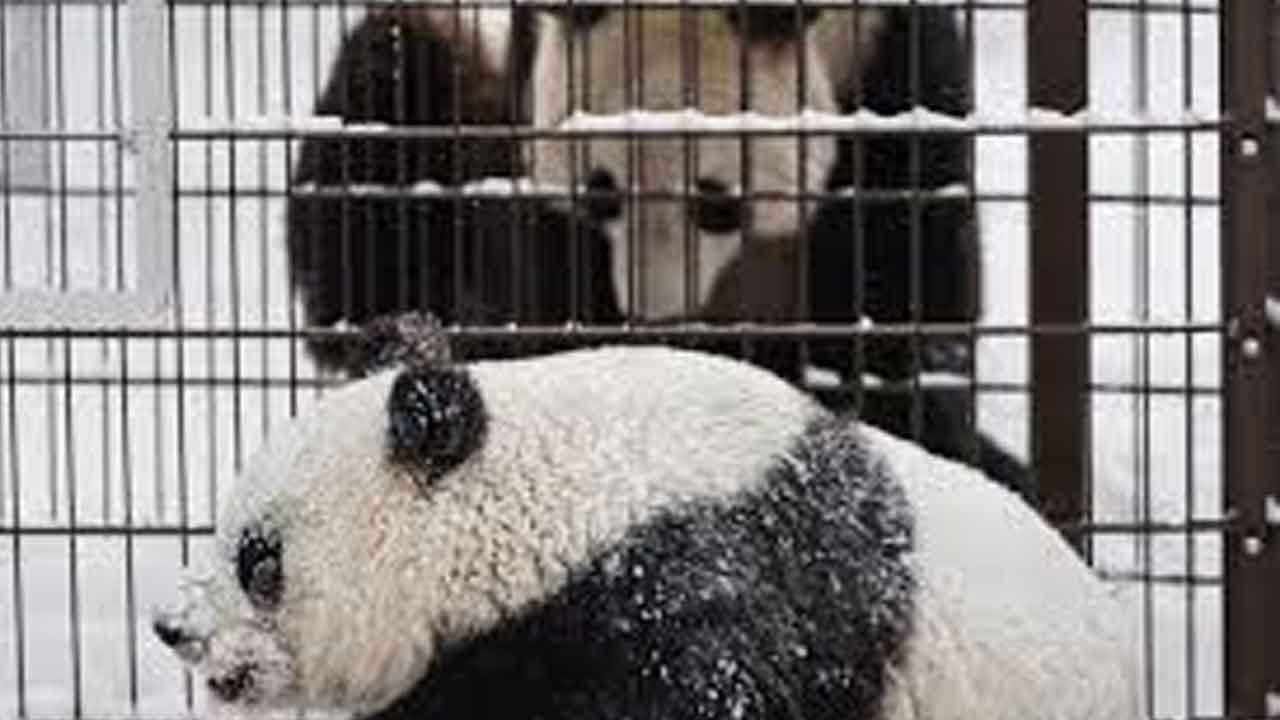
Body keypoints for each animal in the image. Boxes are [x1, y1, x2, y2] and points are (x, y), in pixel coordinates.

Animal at [285, 3, 1029, 496]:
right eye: (602, 196)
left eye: (718, 203)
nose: (658, 318)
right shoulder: (525, 97)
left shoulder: (890, 71)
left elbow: (906, 311)